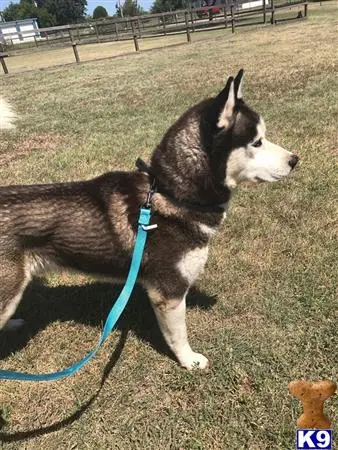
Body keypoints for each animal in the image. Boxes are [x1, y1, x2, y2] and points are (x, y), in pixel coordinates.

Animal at [0, 71, 298, 370]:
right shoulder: (168, 292)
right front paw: (189, 361)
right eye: (257, 142)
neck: (172, 193)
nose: (296, 159)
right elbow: (178, 335)